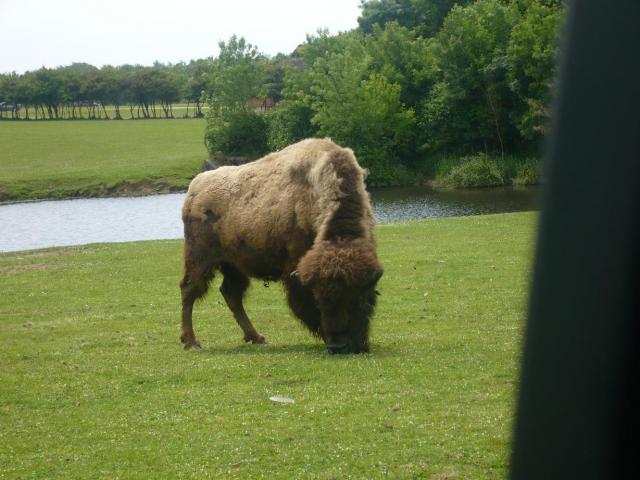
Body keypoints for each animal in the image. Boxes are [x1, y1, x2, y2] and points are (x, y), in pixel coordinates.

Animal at [178, 138, 382, 352]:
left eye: (358, 299)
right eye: (318, 299)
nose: (338, 345)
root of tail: (194, 190)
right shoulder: (295, 268)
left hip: (233, 264)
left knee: (231, 293)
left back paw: (257, 337)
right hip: (200, 259)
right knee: (189, 290)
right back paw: (191, 342)